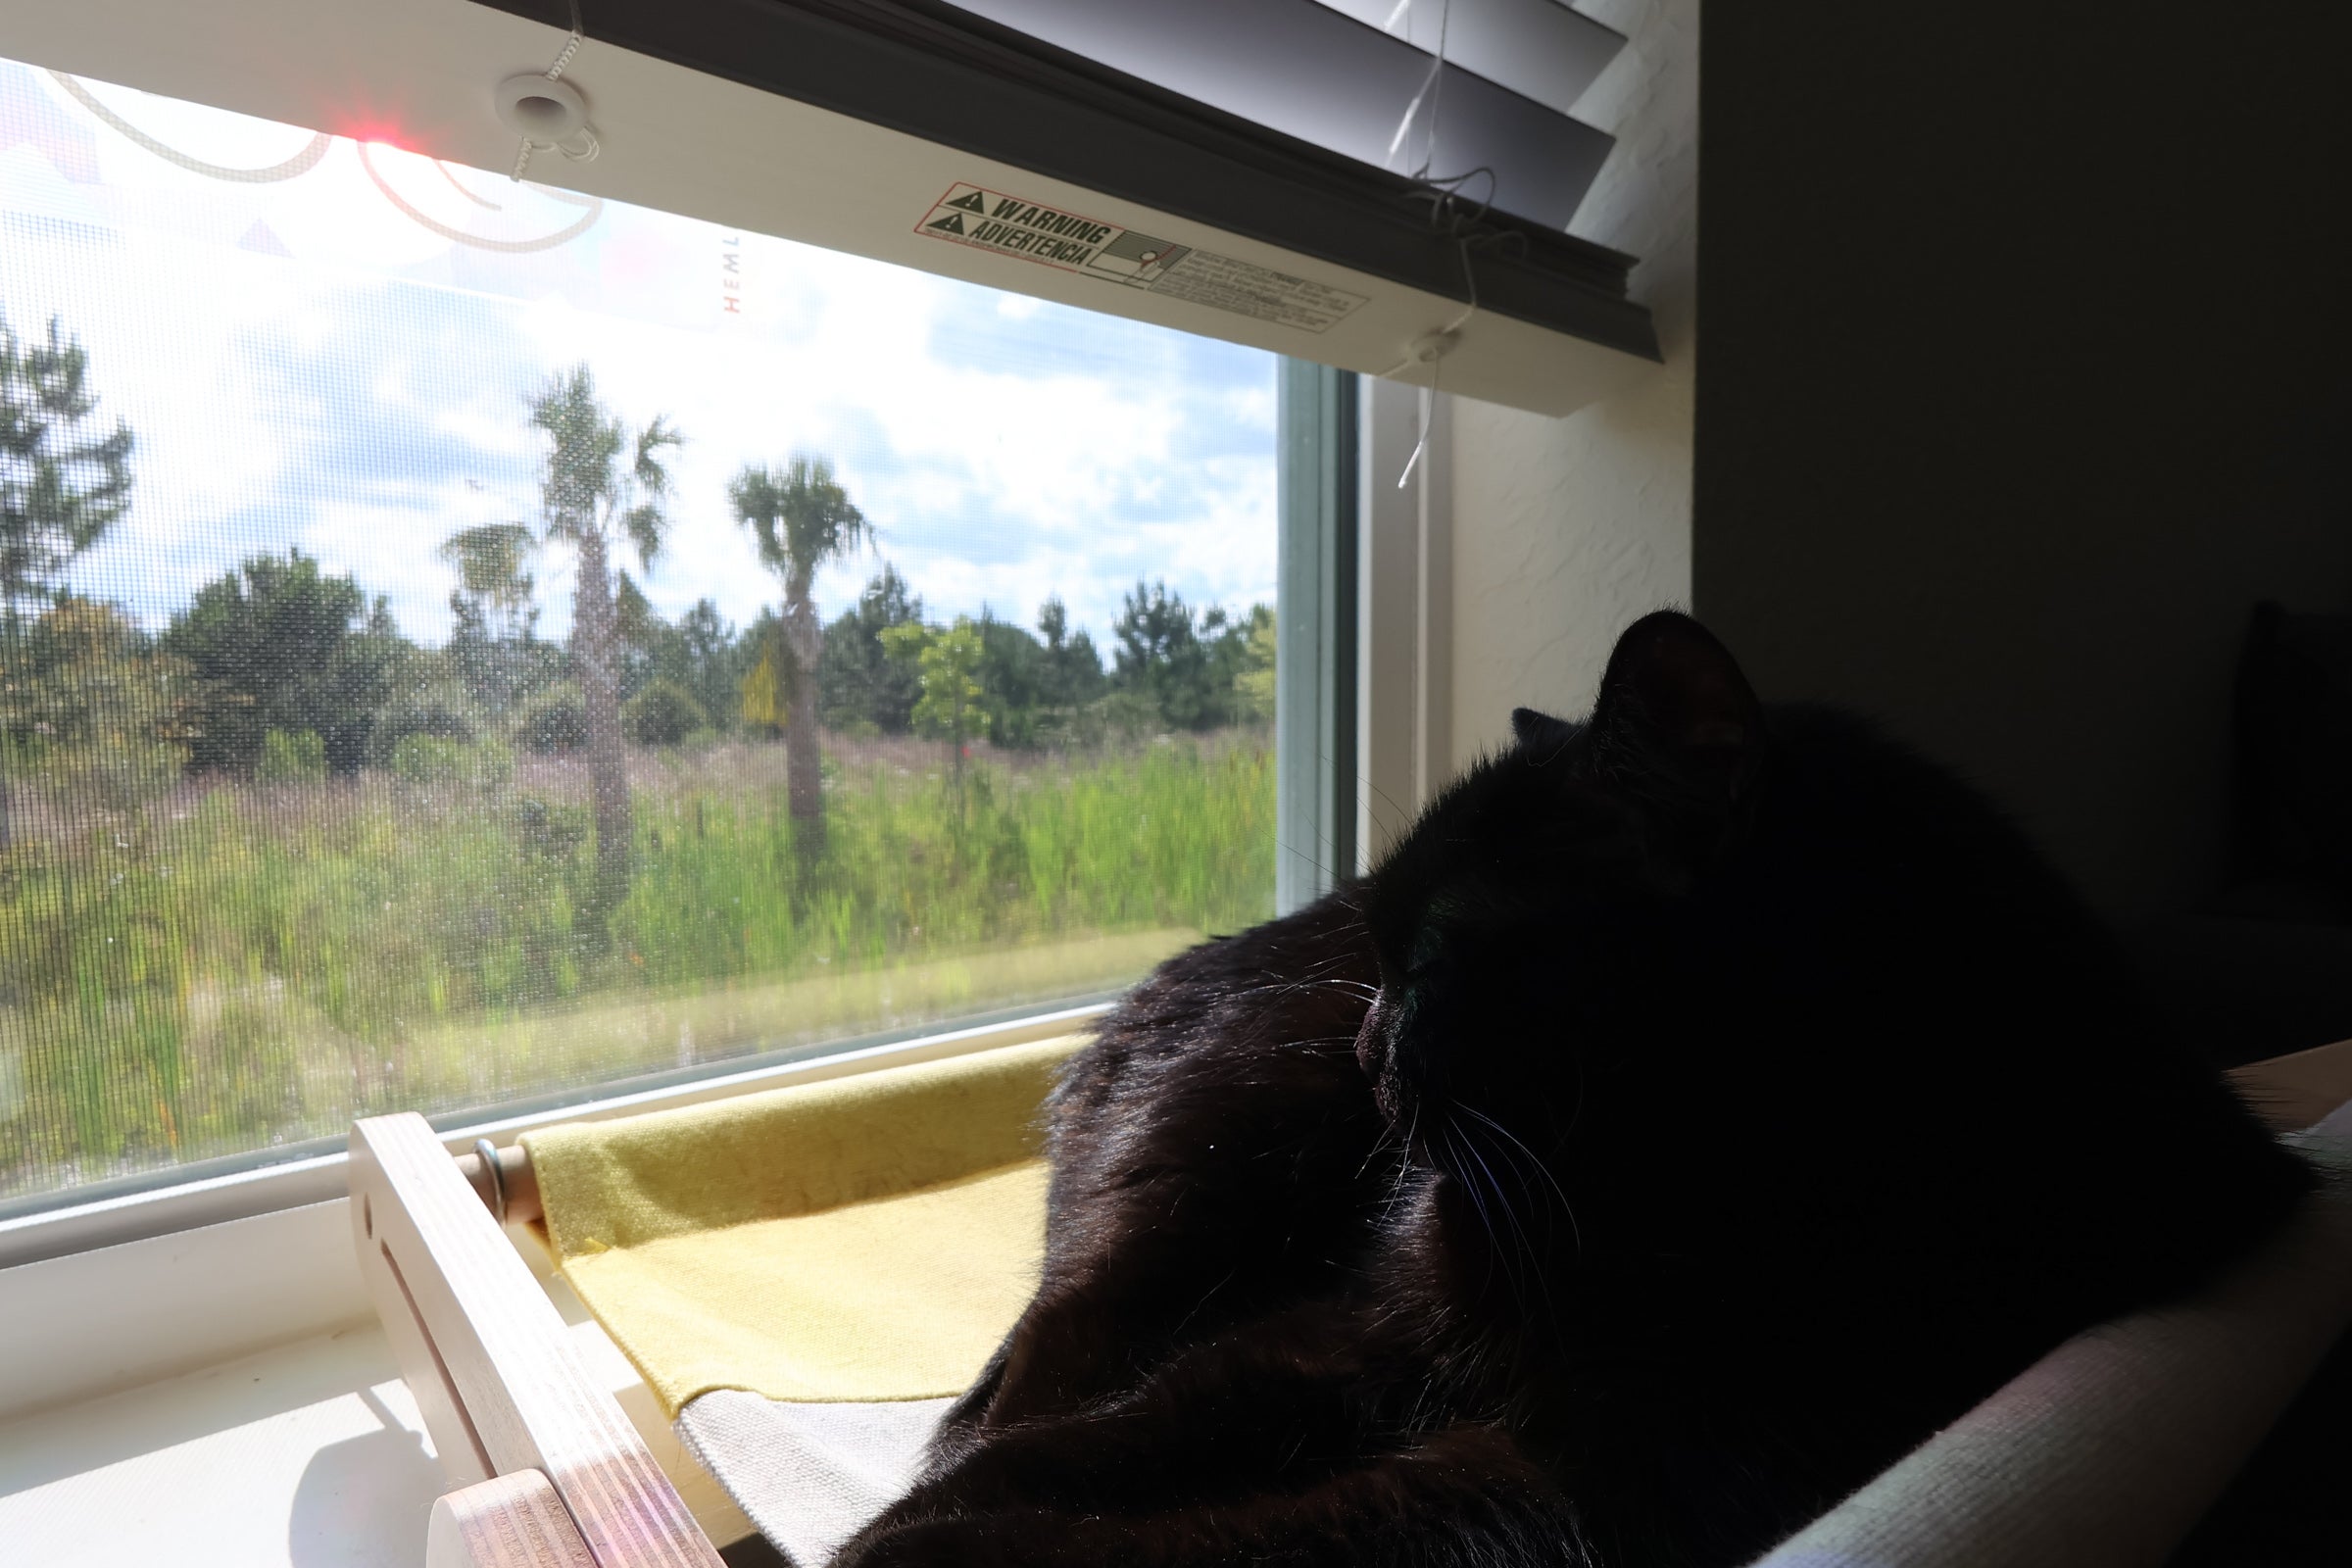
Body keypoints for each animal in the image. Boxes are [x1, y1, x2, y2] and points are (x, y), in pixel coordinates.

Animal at [832, 611, 2314, 1568]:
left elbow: (1250, 1533)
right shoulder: (1372, 1324)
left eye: (1432, 955)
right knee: (1043, 1369)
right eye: (1381, 950)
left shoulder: (1592, 1488)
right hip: (1210, 1174)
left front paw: (942, 1553)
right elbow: (1147, 1422)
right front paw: (914, 1523)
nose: (1367, 1045)